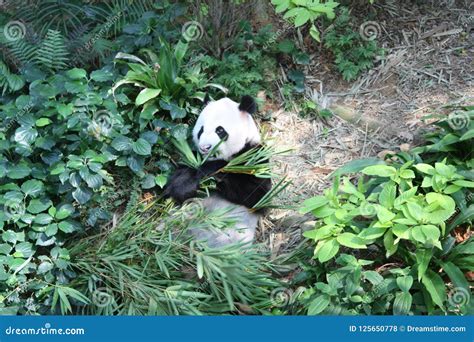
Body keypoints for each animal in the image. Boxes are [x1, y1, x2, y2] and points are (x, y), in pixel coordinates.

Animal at [166, 95, 270, 247]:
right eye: (201, 130)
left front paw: (212, 170)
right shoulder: (191, 158)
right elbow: (179, 179)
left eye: (220, 130)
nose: (204, 147)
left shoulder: (254, 156)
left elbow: (259, 195)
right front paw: (185, 185)